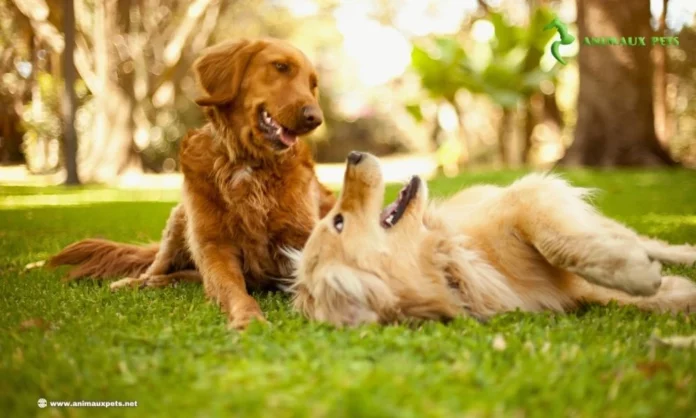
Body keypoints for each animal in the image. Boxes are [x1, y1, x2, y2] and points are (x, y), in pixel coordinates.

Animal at [47, 38, 336, 330]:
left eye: (313, 84)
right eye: (280, 67)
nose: (315, 118)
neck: (248, 164)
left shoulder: (302, 237)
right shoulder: (214, 246)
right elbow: (233, 290)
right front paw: (248, 318)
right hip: (179, 221)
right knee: (157, 267)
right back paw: (137, 282)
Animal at [288, 152, 696, 324]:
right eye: (338, 222)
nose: (353, 154)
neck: (450, 262)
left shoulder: (527, 199)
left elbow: (558, 244)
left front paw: (635, 274)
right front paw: (670, 291)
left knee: (646, 242)